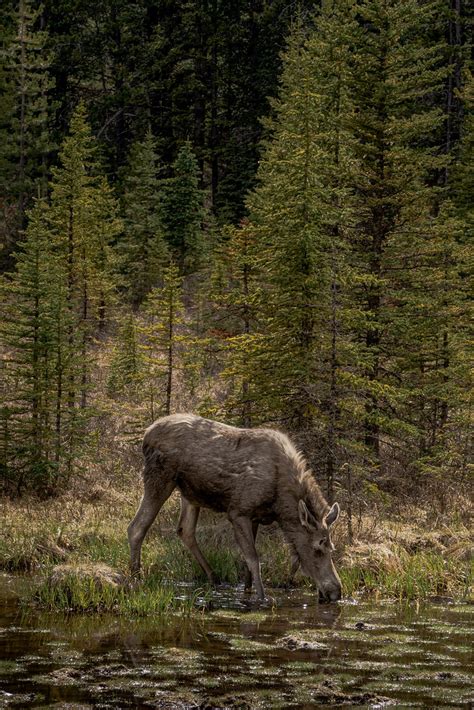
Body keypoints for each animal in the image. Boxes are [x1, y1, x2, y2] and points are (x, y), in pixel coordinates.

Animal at [128, 414, 342, 604]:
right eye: (317, 548)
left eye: (332, 547)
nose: (336, 592)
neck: (280, 504)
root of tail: (146, 434)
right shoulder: (239, 512)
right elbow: (254, 559)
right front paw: (262, 598)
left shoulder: (255, 516)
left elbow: (247, 564)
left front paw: (247, 592)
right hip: (160, 478)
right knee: (136, 527)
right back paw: (136, 577)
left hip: (190, 494)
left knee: (185, 530)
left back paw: (214, 578)